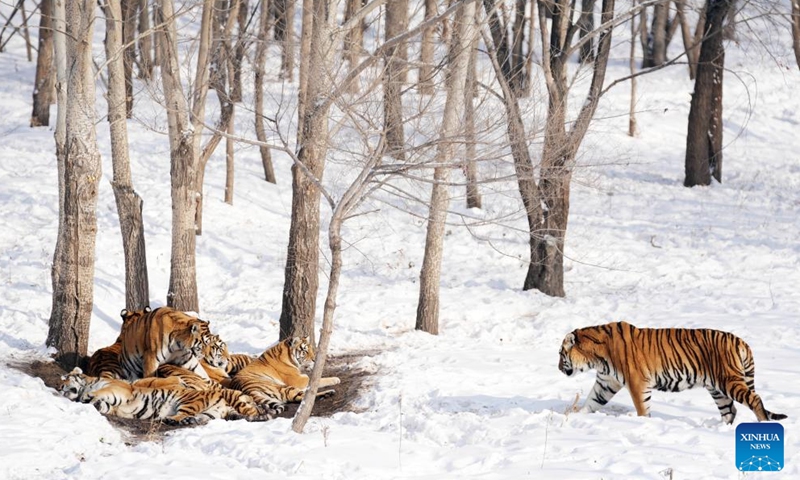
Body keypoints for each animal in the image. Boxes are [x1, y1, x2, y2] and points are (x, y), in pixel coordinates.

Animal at [59, 368, 272, 425]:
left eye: (65, 379)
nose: (60, 388)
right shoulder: (112, 404)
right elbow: (102, 405)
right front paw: (91, 402)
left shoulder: (118, 389)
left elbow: (99, 393)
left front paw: (87, 397)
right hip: (210, 412)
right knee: (200, 418)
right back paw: (189, 421)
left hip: (188, 401)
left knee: (181, 414)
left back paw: (172, 419)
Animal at [558, 321, 788, 424]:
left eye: (561, 354)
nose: (559, 368)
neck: (597, 359)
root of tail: (741, 341)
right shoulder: (606, 383)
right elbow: (592, 401)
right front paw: (577, 415)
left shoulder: (637, 382)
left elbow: (642, 408)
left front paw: (644, 423)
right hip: (717, 389)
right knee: (730, 410)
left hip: (729, 381)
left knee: (754, 399)